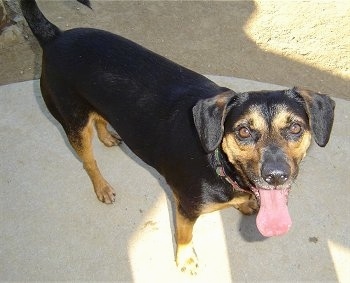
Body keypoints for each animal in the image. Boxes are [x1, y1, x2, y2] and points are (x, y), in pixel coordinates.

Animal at [21, 0, 334, 276]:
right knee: (88, 160)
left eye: (295, 128)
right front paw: (186, 261)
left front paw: (245, 204)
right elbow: (184, 236)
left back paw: (107, 136)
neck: (219, 165)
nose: (276, 176)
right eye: (243, 131)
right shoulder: (185, 207)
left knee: (99, 118)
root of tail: (55, 36)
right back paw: (102, 187)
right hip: (71, 121)